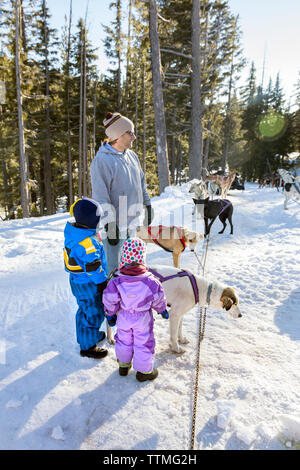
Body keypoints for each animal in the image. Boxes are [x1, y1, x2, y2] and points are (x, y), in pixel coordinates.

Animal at [105, 264, 241, 352]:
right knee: (109, 321)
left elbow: (179, 330)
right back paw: (110, 338)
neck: (201, 288)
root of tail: (115, 272)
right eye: (234, 304)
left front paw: (181, 339)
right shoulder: (174, 314)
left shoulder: (180, 314)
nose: (241, 315)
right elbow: (174, 334)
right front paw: (176, 348)